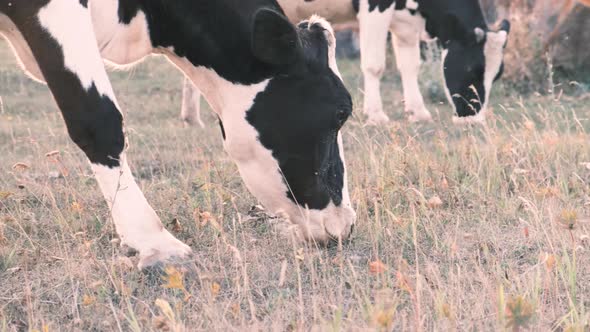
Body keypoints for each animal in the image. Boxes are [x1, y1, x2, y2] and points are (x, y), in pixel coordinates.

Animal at [182, 0, 512, 126]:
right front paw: (376, 115)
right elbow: (375, 64)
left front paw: (418, 112)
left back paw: (191, 118)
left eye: (497, 75)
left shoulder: (405, 20)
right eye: (473, 69)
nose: (474, 117)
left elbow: (410, 65)